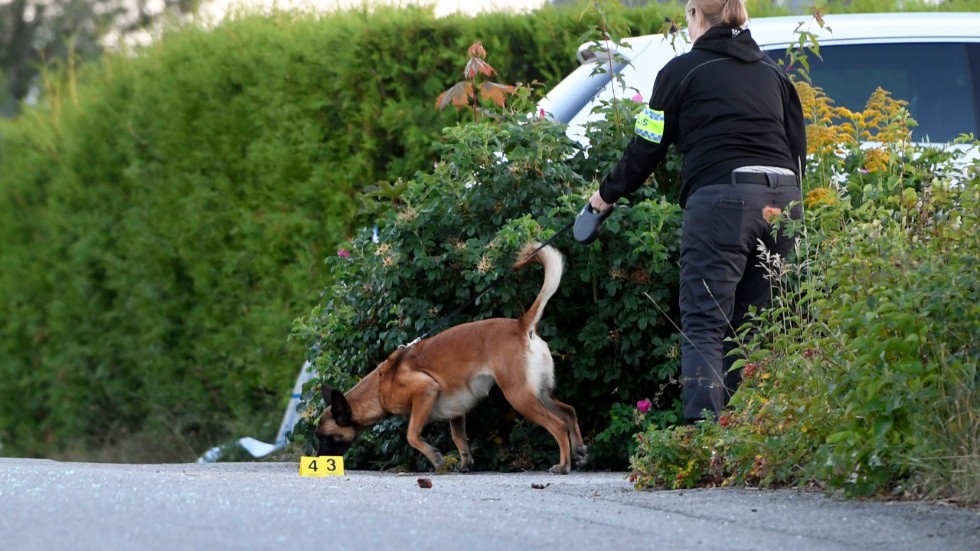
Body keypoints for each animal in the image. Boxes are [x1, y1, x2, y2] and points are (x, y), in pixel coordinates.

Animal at [318, 243, 584, 474]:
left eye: (325, 437)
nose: (318, 460)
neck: (381, 385)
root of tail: (520, 326)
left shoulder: (425, 390)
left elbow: (412, 434)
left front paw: (435, 458)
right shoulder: (457, 412)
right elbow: (458, 437)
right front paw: (465, 463)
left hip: (520, 397)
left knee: (558, 425)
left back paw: (563, 465)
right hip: (539, 393)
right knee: (569, 411)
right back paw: (579, 451)